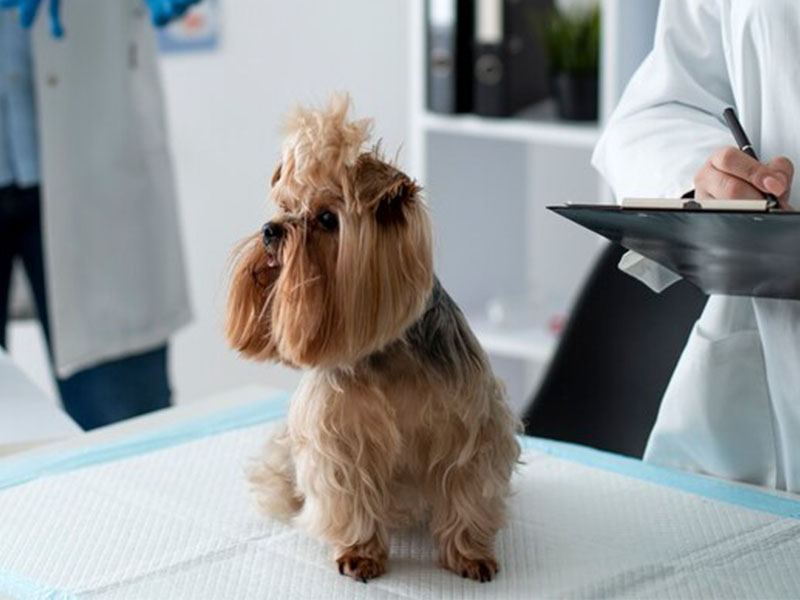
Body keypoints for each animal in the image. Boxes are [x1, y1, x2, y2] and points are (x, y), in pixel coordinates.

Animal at [227, 96, 520, 584]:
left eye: (328, 219)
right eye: (286, 206)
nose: (271, 229)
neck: (386, 349)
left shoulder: (470, 427)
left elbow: (466, 489)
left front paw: (469, 553)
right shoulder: (339, 439)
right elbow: (350, 495)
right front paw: (360, 552)